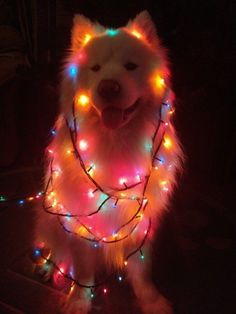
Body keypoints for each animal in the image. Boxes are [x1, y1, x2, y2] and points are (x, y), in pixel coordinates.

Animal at [34, 10, 183, 314]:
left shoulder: (141, 223)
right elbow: (82, 269)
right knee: (52, 244)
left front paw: (151, 300)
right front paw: (79, 301)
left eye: (131, 66)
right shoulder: (80, 225)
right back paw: (47, 266)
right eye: (96, 68)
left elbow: (142, 269)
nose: (108, 87)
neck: (115, 145)